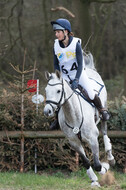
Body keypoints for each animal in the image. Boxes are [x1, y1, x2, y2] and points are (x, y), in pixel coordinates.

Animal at [43, 53, 115, 187]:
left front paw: (105, 168)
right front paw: (94, 179)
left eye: (58, 91)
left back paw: (110, 157)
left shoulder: (92, 138)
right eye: (46, 90)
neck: (73, 115)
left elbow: (97, 164)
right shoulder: (74, 142)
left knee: (104, 129)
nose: (47, 111)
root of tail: (89, 69)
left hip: (103, 109)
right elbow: (86, 162)